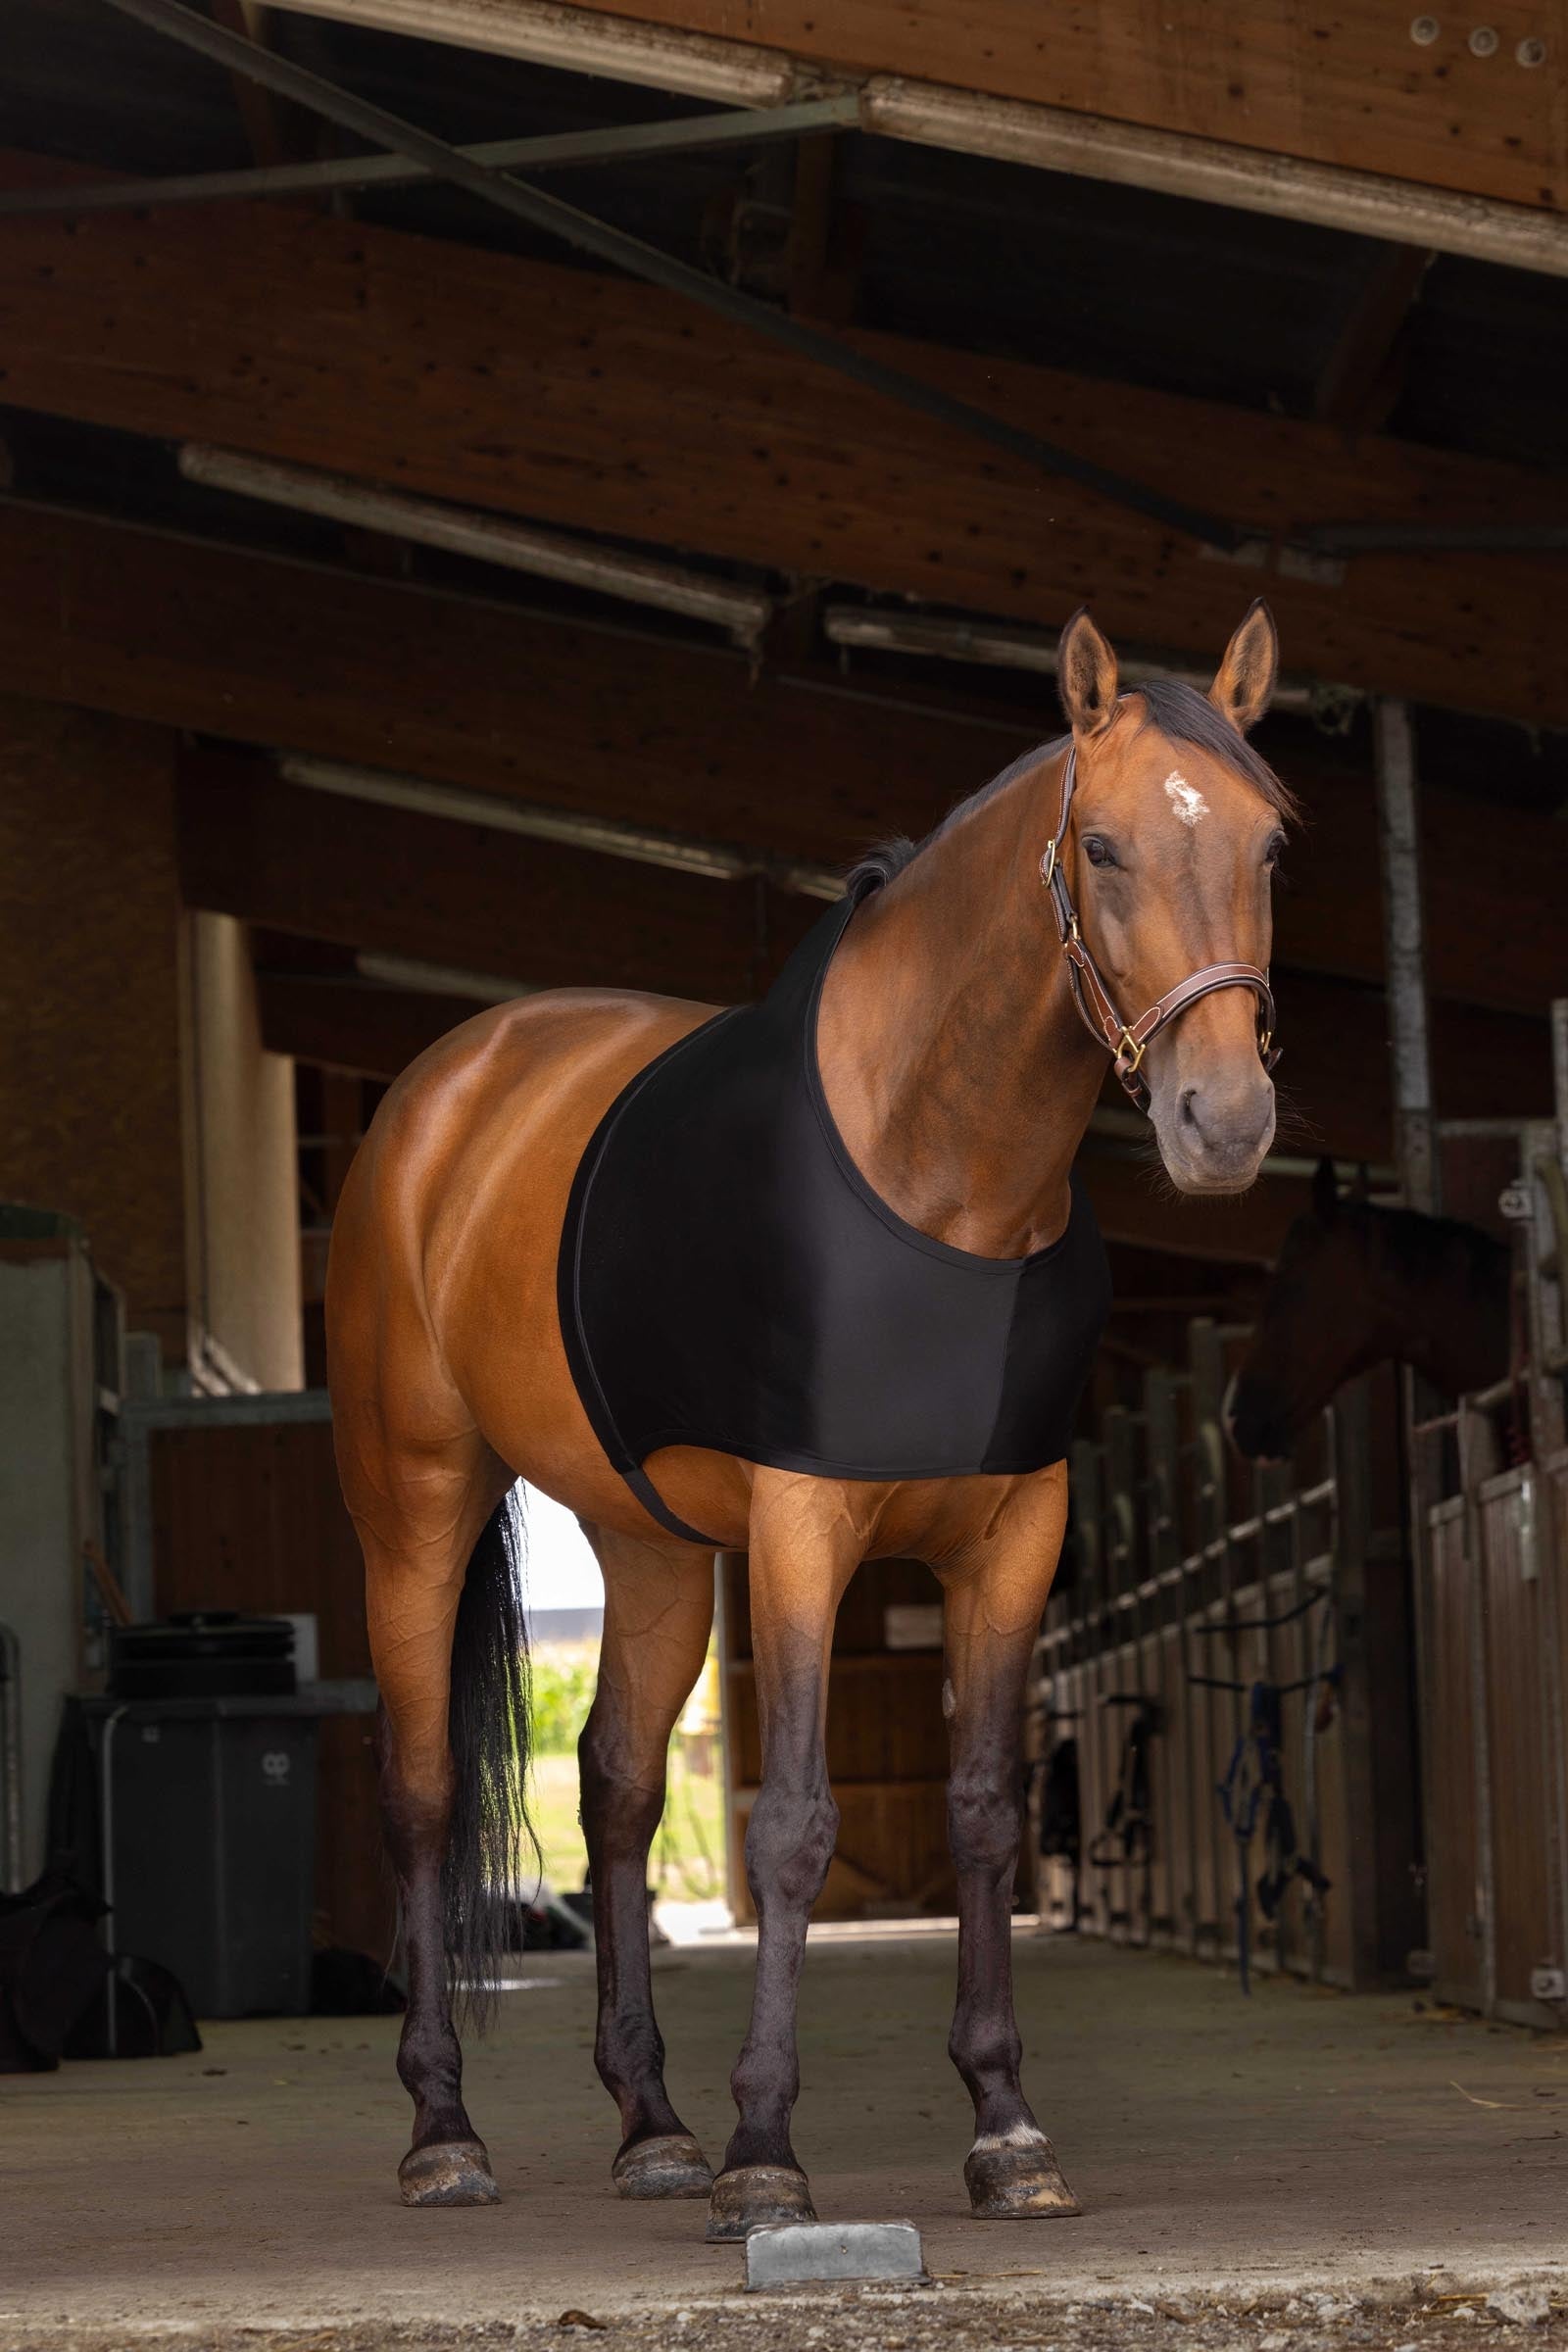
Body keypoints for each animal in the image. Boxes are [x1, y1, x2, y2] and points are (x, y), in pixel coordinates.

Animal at [325, 601, 1295, 2235]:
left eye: (1271, 842)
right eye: (1099, 846)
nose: (1221, 1121)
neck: (944, 1166)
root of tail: (441, 1096)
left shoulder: (1015, 1534)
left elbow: (984, 1809)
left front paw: (1005, 2129)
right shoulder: (800, 1523)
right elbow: (790, 1825)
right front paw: (767, 2150)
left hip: (649, 1548)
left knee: (620, 1791)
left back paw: (650, 2125)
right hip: (418, 1501)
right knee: (417, 1792)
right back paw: (444, 2133)